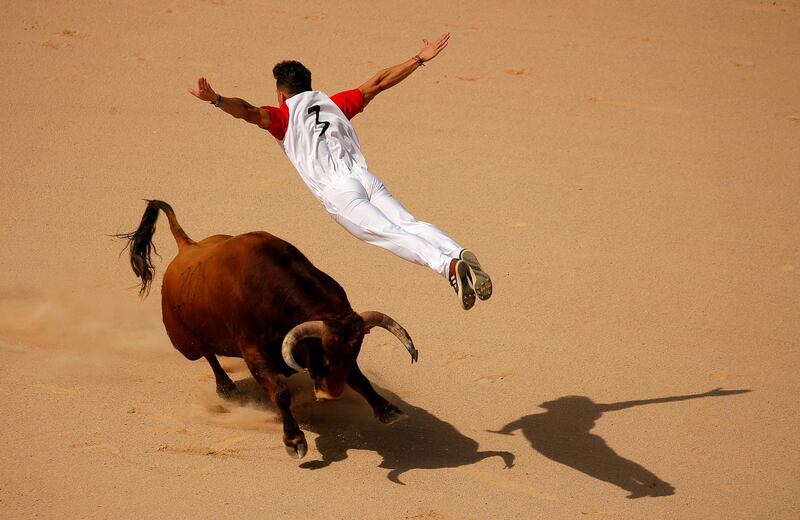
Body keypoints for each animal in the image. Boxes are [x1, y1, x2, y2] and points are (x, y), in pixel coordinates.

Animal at [120, 201, 418, 458]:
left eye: (355, 350)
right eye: (320, 351)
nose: (330, 394)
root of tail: (187, 246)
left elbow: (359, 378)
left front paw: (387, 410)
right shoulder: (254, 351)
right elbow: (280, 393)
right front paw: (294, 440)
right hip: (186, 343)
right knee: (208, 354)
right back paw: (226, 388)